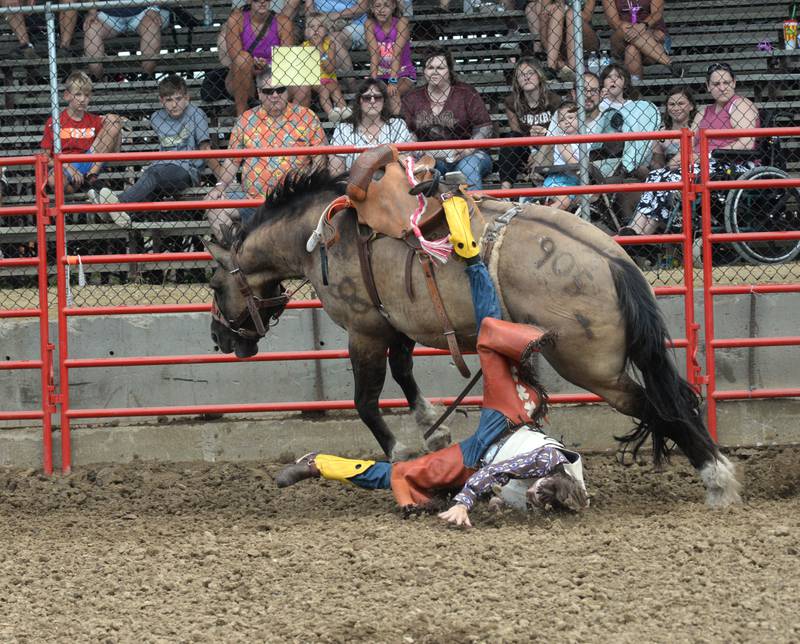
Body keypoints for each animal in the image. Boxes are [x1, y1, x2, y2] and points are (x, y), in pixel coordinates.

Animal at [205, 148, 736, 506]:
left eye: (212, 282)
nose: (219, 338)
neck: (321, 235)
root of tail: (613, 262)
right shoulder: (398, 324)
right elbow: (404, 374)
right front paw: (431, 428)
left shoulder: (365, 331)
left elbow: (366, 401)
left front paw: (401, 448)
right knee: (672, 399)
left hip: (592, 367)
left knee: (658, 406)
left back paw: (717, 479)